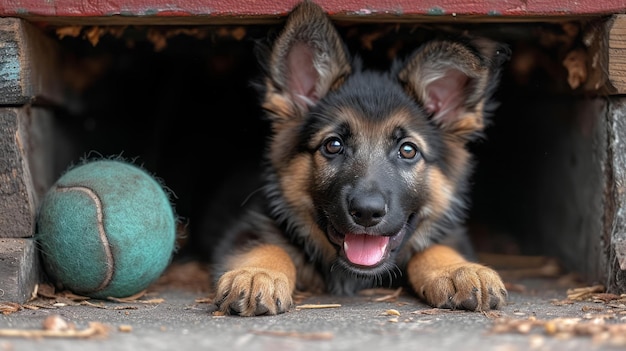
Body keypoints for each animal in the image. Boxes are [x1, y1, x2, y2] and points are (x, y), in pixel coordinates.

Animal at [210, 0, 508, 318]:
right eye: (333, 145)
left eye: (408, 150)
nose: (367, 212)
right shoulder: (248, 227)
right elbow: (266, 245)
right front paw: (257, 273)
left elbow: (434, 247)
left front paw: (458, 270)